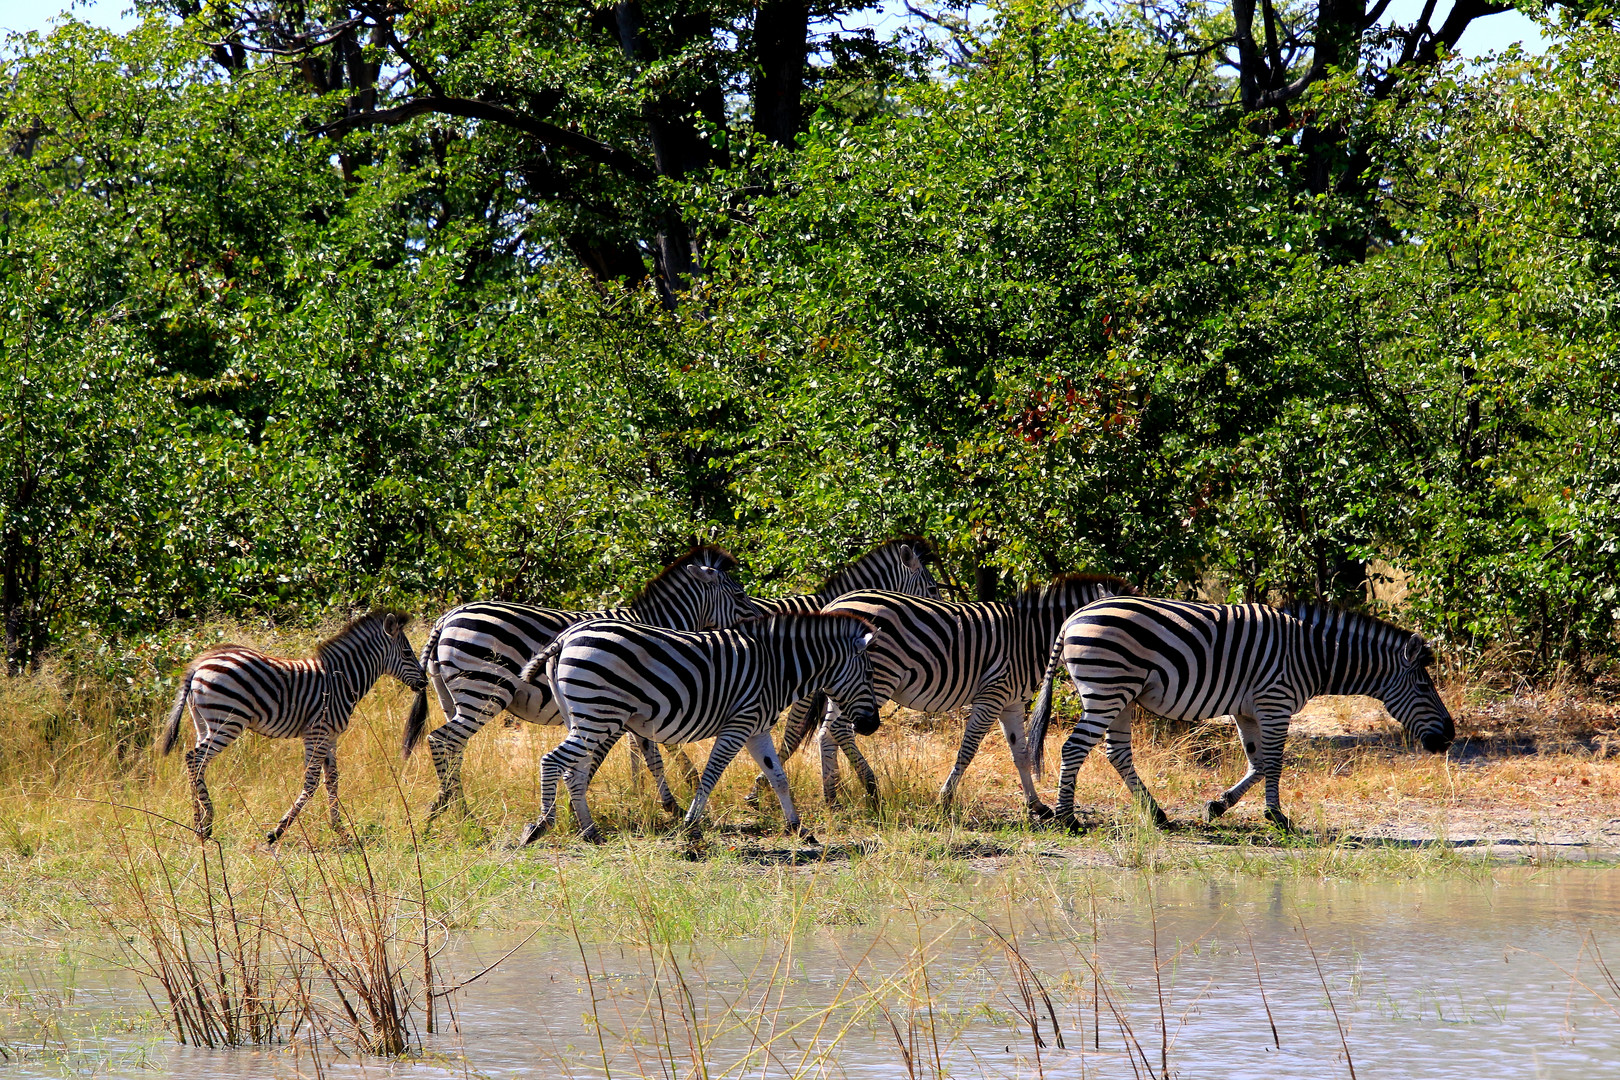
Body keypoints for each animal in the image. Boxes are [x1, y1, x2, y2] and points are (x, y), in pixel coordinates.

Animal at [156, 608, 424, 841]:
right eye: (407, 653)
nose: (423, 683)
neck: (341, 681)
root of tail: (199, 663)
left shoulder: (331, 736)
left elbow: (333, 781)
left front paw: (341, 830)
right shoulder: (317, 732)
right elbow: (312, 783)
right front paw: (277, 831)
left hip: (204, 722)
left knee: (196, 763)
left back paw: (199, 823)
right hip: (227, 721)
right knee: (194, 759)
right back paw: (207, 821)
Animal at [405, 544, 758, 822]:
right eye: (740, 594)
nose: (758, 624)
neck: (656, 627)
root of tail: (446, 618)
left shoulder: (636, 708)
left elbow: (648, 754)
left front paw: (657, 798)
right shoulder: (634, 704)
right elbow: (643, 754)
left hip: (453, 696)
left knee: (453, 747)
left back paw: (444, 805)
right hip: (485, 689)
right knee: (443, 740)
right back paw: (461, 812)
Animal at [515, 612, 874, 848]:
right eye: (870, 674)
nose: (871, 725)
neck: (777, 667)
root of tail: (566, 637)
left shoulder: (757, 729)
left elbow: (779, 778)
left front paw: (799, 828)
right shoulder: (739, 723)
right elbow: (711, 774)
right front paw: (690, 827)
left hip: (585, 716)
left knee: (573, 771)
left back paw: (590, 831)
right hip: (599, 714)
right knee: (553, 761)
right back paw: (540, 827)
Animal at [790, 573, 1134, 819]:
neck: (1030, 636)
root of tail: (833, 605)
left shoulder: (1011, 701)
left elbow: (1020, 753)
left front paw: (1036, 806)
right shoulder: (992, 695)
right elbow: (967, 750)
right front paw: (945, 800)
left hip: (845, 686)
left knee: (826, 732)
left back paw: (833, 799)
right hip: (877, 678)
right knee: (840, 729)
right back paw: (871, 790)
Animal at [1030, 595, 1464, 835]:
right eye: (1424, 687)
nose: (1450, 736)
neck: (1313, 655)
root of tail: (1073, 617)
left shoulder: (1247, 709)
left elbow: (1257, 763)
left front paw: (1218, 805)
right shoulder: (1276, 701)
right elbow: (1274, 763)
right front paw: (1278, 817)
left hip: (1121, 695)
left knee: (1116, 753)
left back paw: (1157, 816)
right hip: (1109, 687)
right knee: (1073, 748)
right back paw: (1068, 820)